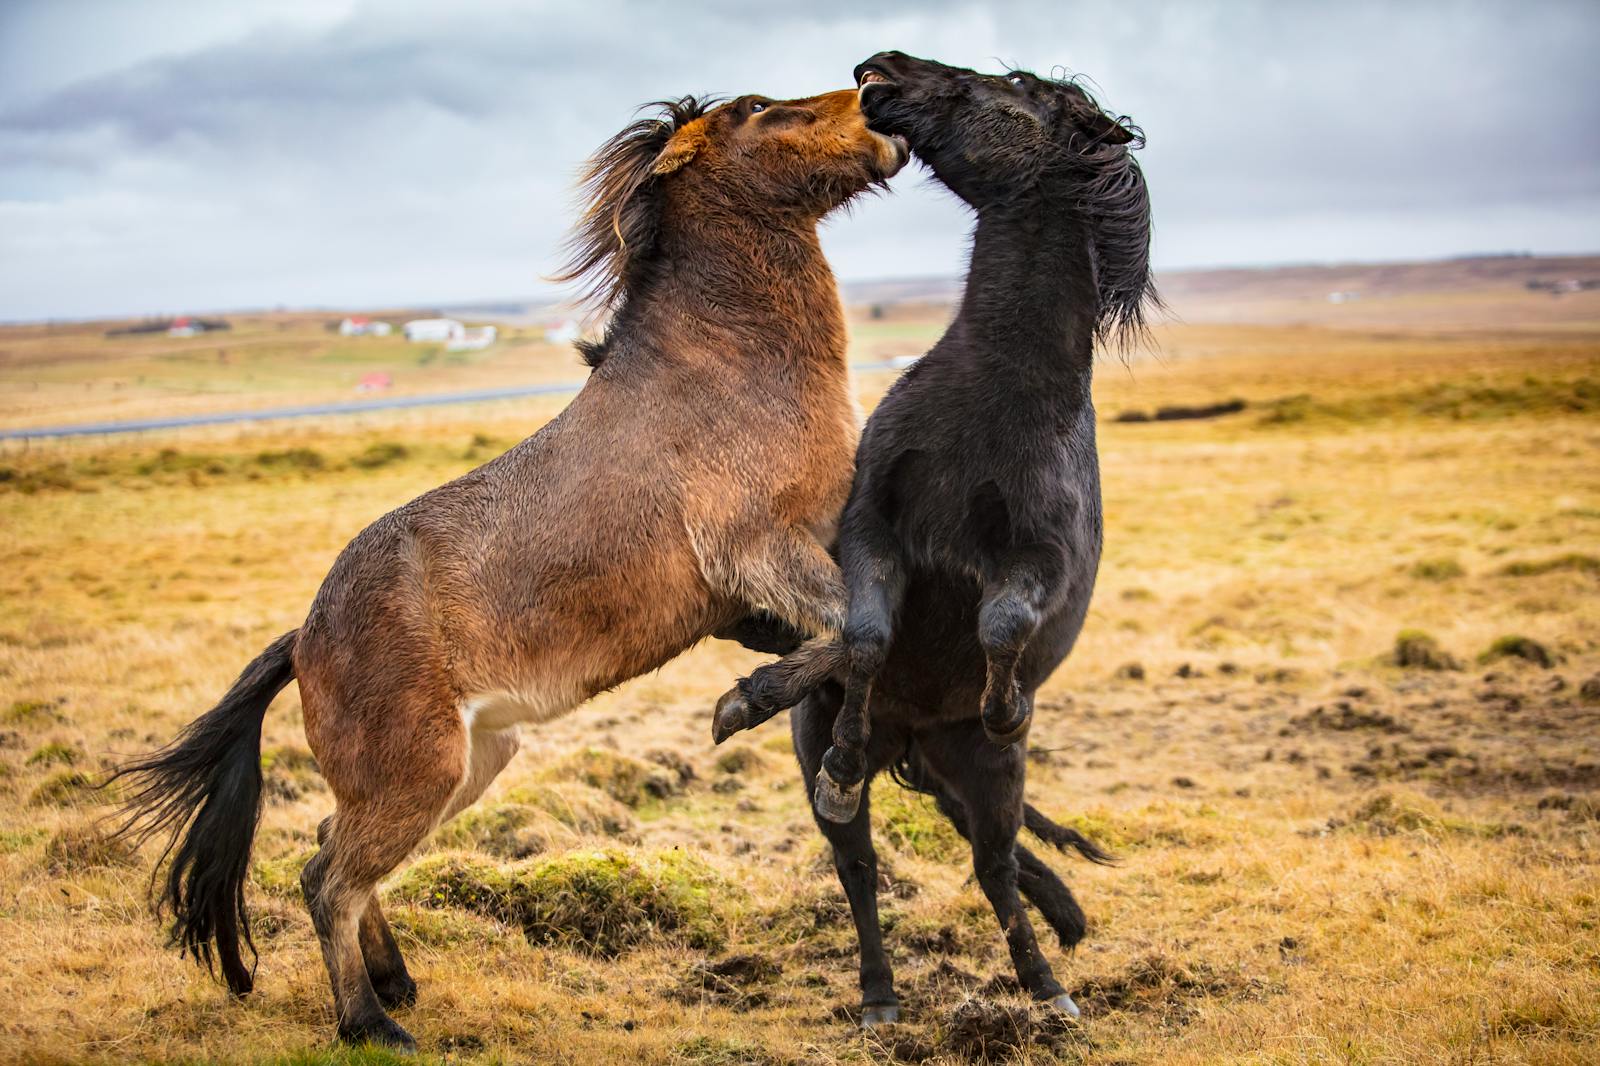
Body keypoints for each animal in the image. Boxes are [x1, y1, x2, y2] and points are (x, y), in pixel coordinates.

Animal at [108, 88, 907, 1050]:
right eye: (758, 109)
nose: (878, 101)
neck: (729, 368)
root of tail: (303, 640)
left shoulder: (777, 582)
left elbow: (860, 638)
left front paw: (825, 759)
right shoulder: (758, 548)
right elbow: (859, 630)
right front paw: (743, 709)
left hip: (471, 761)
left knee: (330, 851)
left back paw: (396, 980)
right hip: (419, 775)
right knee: (327, 881)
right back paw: (370, 1022)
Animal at [710, 52, 1157, 1024]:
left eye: (1015, 83)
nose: (878, 71)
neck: (994, 393)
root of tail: (916, 741)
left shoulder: (1039, 560)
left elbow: (1000, 626)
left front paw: (1004, 703)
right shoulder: (873, 531)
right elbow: (867, 635)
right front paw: (820, 740)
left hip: (982, 779)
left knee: (993, 867)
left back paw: (1048, 986)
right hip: (856, 767)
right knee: (860, 867)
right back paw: (881, 995)